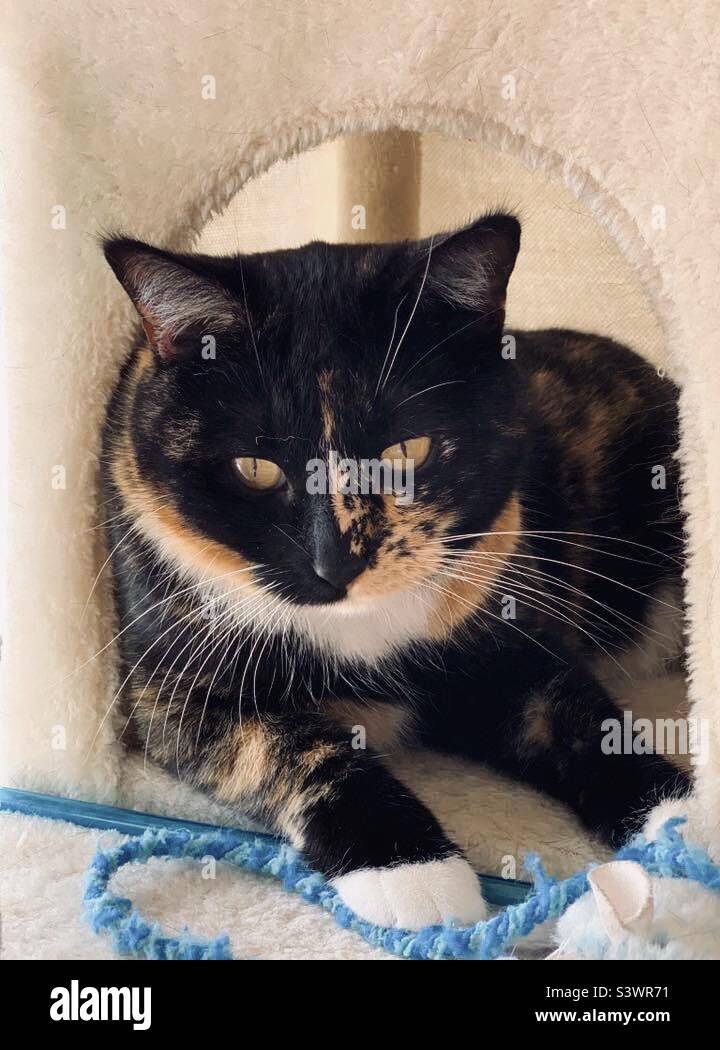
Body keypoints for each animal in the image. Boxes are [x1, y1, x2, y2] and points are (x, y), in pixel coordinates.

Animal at [100, 211, 688, 928]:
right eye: (254, 468)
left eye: (407, 451)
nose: (336, 563)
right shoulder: (170, 685)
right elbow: (291, 745)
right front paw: (414, 873)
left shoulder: (507, 633)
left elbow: (578, 717)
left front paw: (680, 825)